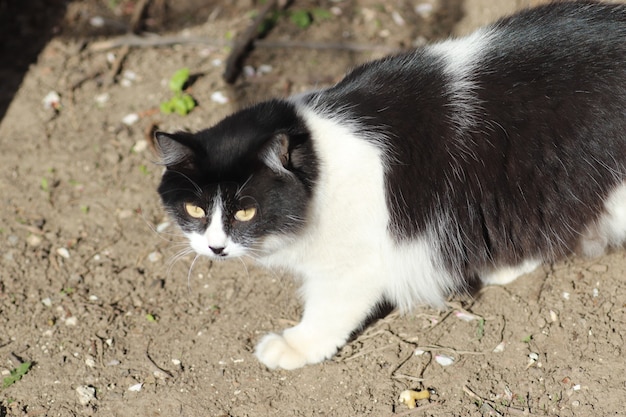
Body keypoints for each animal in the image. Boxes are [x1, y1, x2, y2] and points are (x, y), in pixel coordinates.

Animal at [155, 1, 624, 368]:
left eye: (246, 211)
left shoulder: (354, 265)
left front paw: (296, 346)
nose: (215, 247)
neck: (317, 161)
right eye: (195, 210)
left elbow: (327, 311)